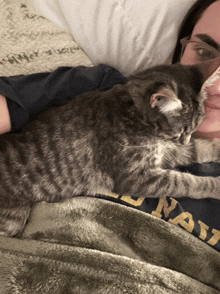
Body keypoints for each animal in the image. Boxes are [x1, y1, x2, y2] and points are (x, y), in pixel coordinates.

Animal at [0, 62, 220, 237]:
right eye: (181, 131)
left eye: (194, 128)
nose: (183, 140)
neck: (135, 113)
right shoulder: (136, 177)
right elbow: (185, 181)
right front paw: (216, 185)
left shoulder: (163, 151)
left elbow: (196, 149)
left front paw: (215, 147)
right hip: (14, 218)